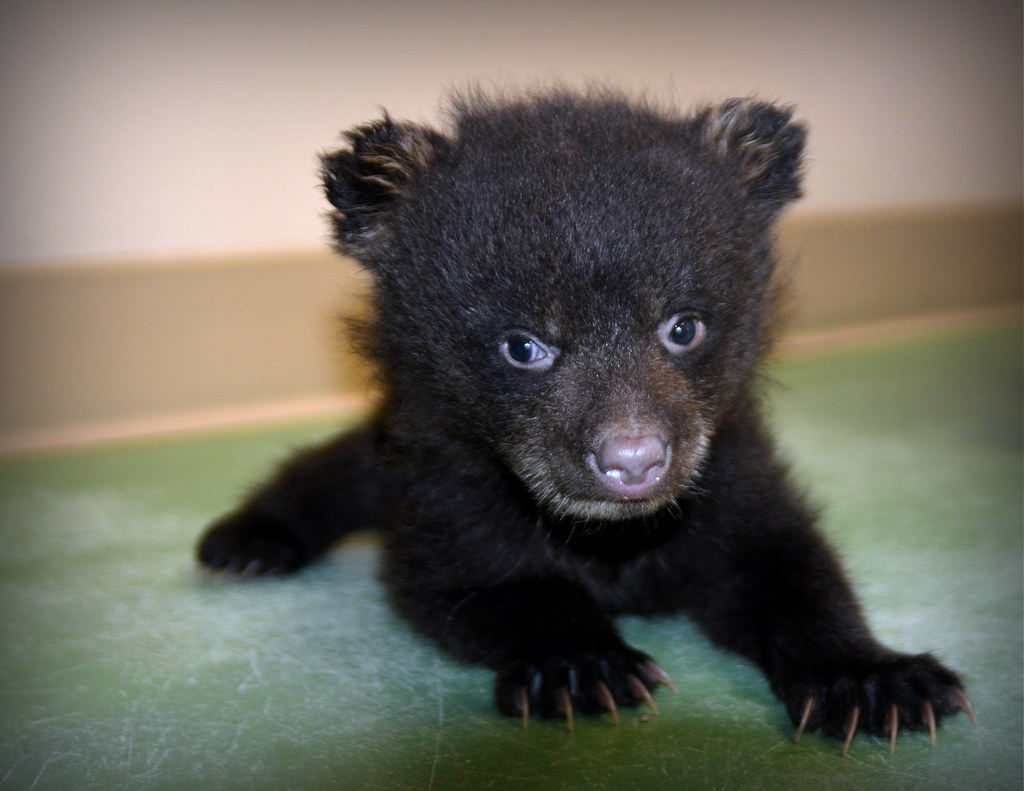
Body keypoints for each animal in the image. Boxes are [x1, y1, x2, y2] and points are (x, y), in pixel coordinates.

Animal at [197, 88, 973, 751]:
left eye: (684, 327)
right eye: (523, 346)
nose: (634, 461)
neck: (614, 538)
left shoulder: (732, 477)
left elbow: (790, 567)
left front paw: (873, 680)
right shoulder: (445, 493)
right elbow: (499, 585)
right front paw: (583, 666)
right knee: (330, 468)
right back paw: (248, 541)